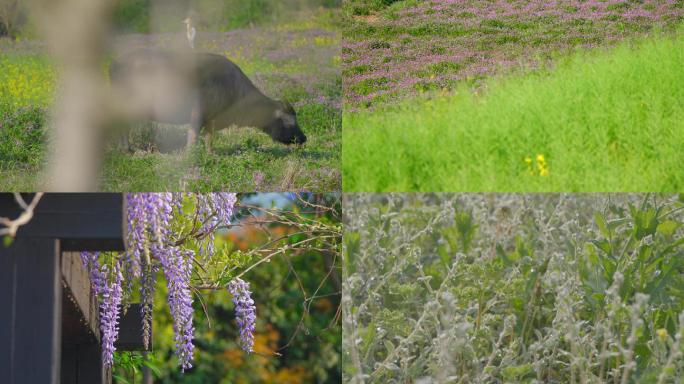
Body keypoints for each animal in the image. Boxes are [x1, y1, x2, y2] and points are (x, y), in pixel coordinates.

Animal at [109, 50, 308, 152]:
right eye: (290, 122)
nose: (304, 138)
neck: (235, 90)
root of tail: (115, 63)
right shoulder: (197, 115)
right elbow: (192, 138)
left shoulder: (211, 120)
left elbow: (208, 139)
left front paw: (210, 153)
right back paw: (127, 150)